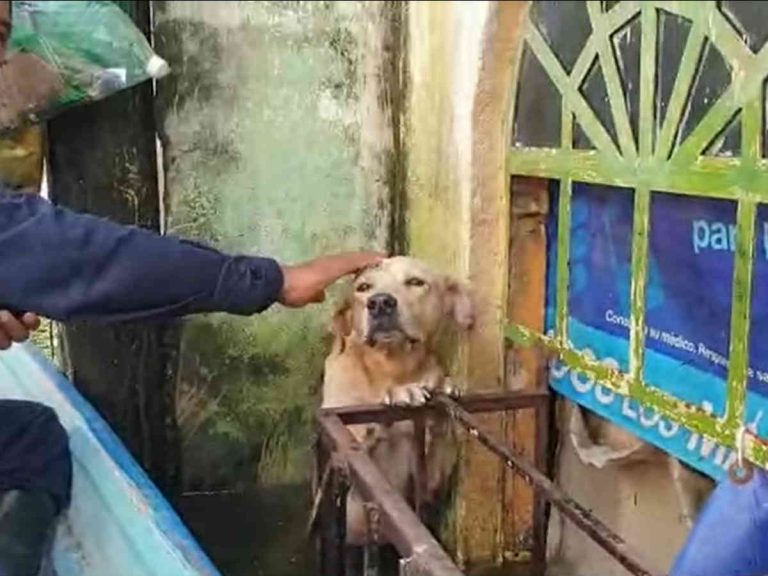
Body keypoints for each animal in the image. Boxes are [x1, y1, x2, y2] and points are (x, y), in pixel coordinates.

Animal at [320, 256, 474, 544]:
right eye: (363, 287)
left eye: (415, 282)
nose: (380, 302)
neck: (392, 368)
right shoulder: (341, 461)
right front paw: (400, 394)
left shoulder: (430, 476)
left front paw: (443, 386)